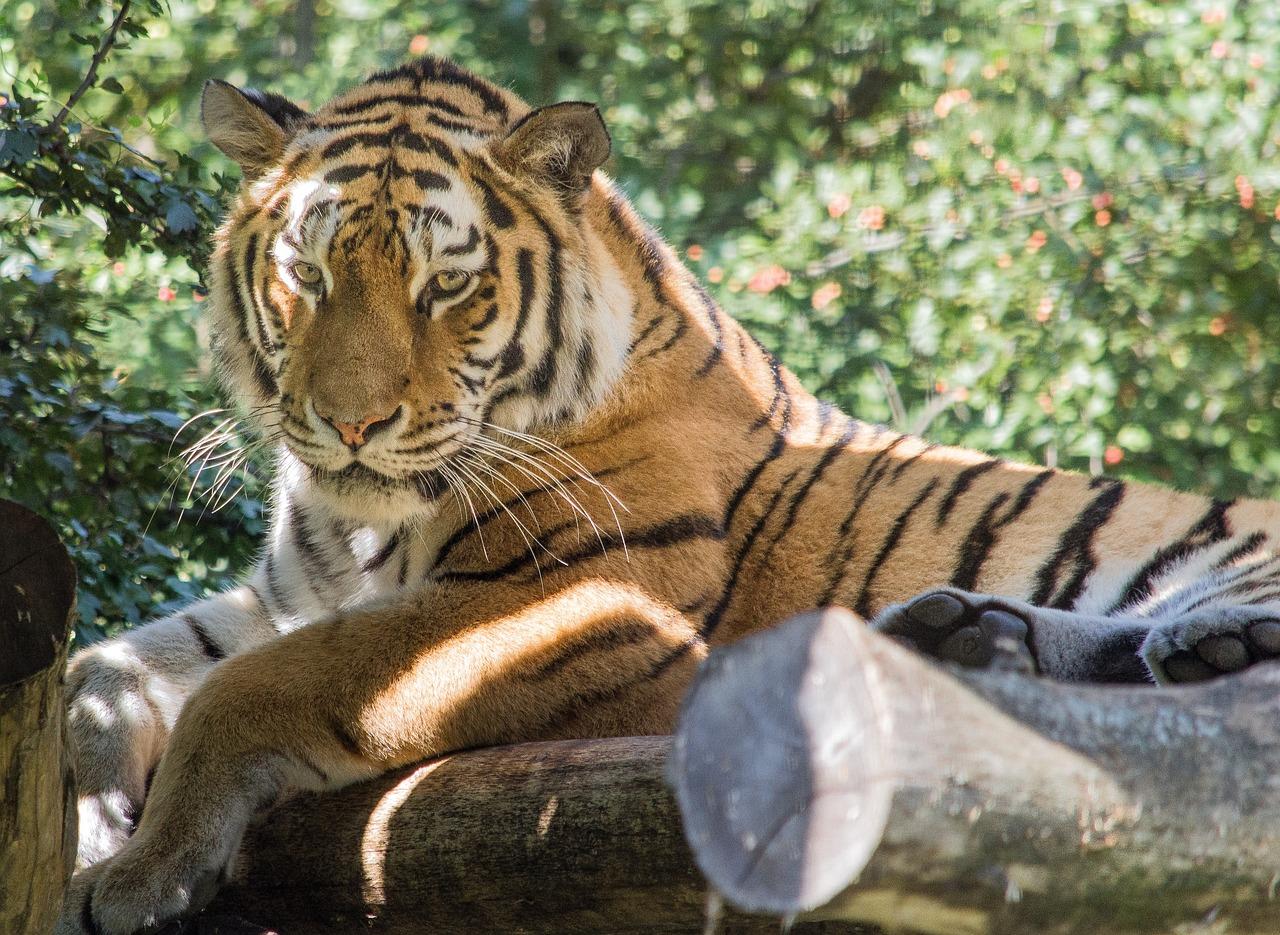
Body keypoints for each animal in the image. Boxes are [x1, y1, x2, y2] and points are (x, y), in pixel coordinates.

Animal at [62, 54, 1280, 927]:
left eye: (444, 286)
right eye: (304, 275)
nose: (351, 422)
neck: (361, 520)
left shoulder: (586, 606)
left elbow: (251, 688)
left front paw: (141, 875)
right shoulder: (285, 594)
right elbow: (103, 669)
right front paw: (90, 826)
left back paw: (1189, 643)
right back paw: (962, 638)